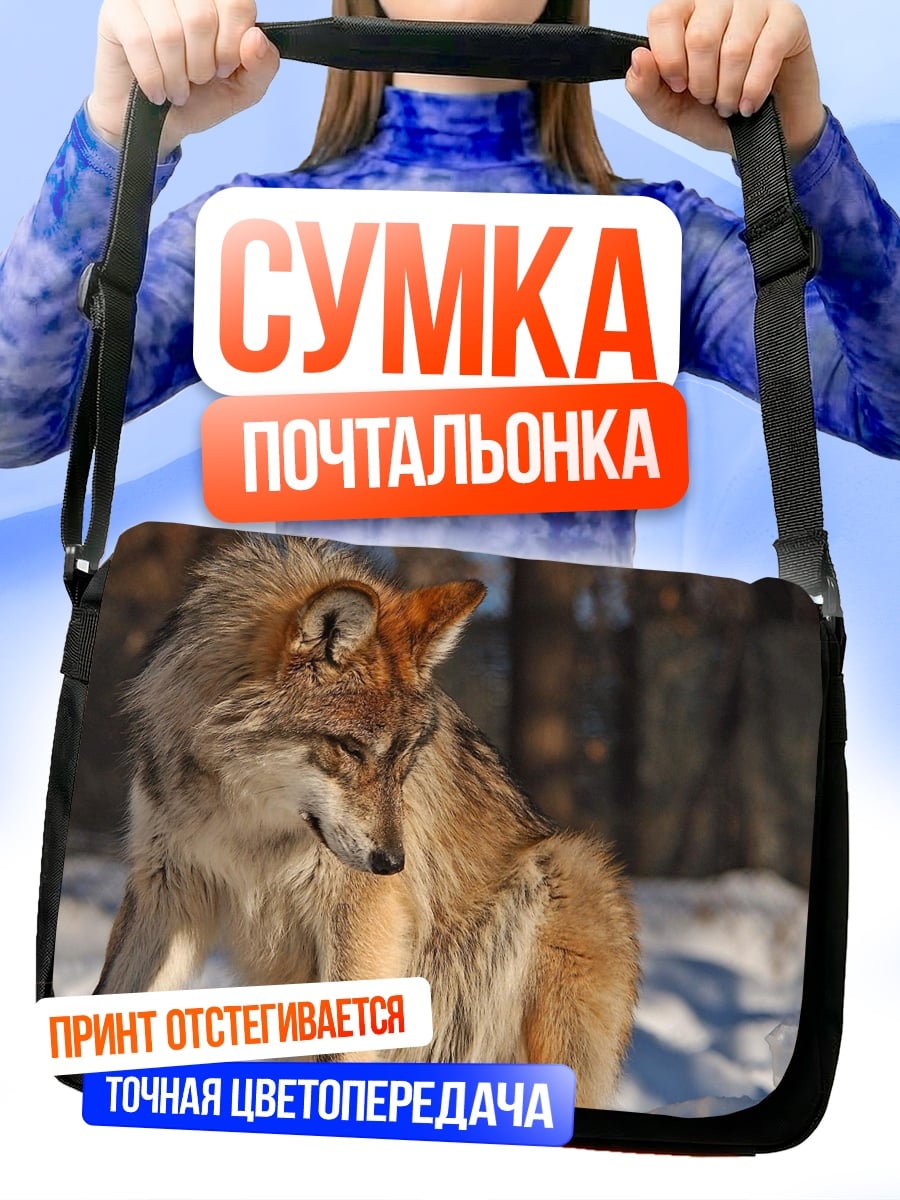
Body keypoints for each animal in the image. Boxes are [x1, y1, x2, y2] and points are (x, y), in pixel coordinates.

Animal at [97, 534, 639, 1108]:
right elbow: (113, 994)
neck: (245, 820)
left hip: (568, 870)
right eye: (351, 749)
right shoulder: (167, 888)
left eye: (405, 758)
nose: (393, 863)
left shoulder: (361, 917)